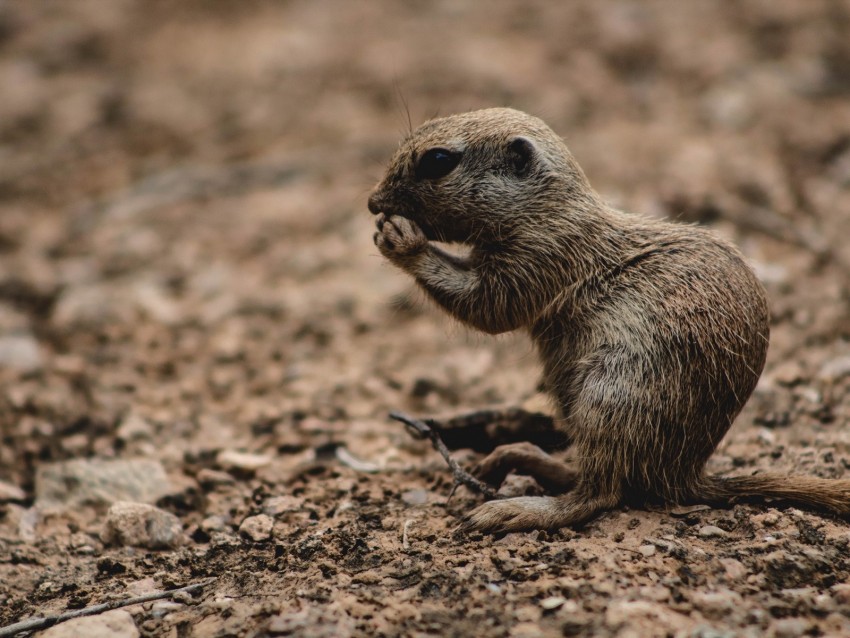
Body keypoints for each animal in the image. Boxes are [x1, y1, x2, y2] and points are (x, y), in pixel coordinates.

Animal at [368, 107, 848, 532]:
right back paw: (512, 457)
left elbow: (489, 308)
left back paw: (514, 508)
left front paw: (401, 239)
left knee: (598, 494)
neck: (548, 209)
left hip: (610, 396)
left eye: (438, 160)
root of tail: (683, 474)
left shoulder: (539, 258)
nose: (373, 202)